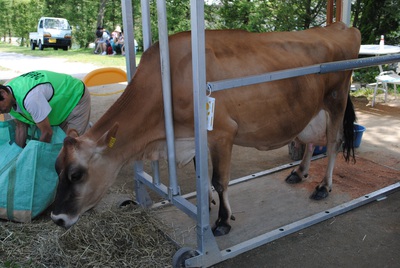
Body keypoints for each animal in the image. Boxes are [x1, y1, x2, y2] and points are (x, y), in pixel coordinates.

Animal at [51, 23, 360, 236]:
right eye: (56, 167)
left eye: (77, 174)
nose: (57, 218)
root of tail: (340, 26)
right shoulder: (193, 136)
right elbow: (201, 174)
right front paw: (207, 204)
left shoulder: (222, 133)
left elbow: (219, 180)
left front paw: (222, 221)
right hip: (313, 107)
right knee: (310, 139)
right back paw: (299, 172)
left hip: (337, 98)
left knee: (333, 141)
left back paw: (323, 186)